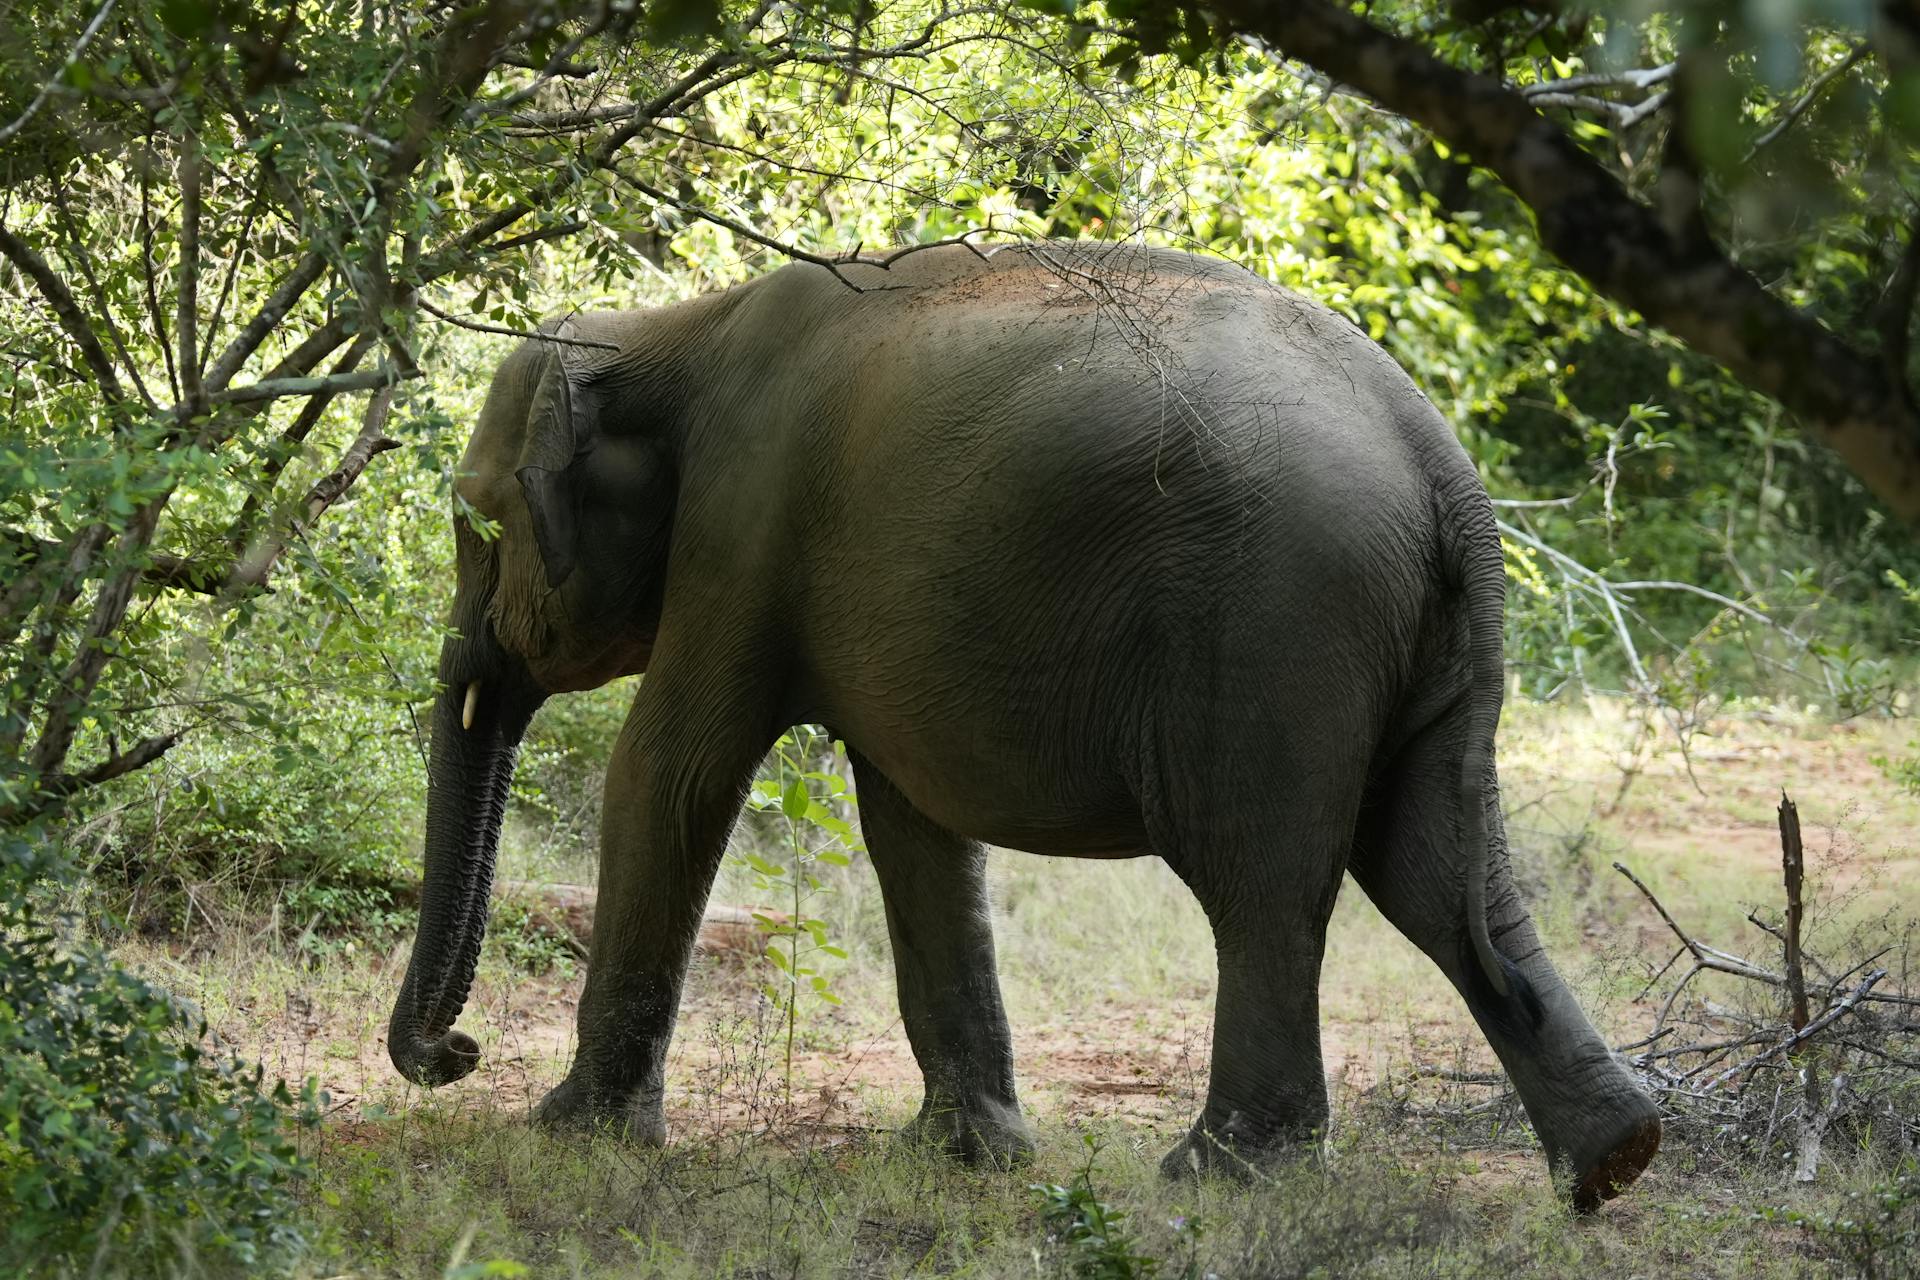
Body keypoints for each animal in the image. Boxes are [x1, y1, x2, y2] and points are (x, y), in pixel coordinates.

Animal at [382, 239, 1658, 1212]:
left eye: (476, 525)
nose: (454, 1054)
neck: (677, 325)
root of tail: (1447, 471)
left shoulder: (739, 527)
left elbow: (671, 769)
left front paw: (567, 1133)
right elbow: (912, 825)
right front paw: (967, 1156)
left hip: (1278, 628)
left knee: (1263, 885)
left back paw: (1222, 1175)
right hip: (1420, 650)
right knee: (1440, 872)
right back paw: (1612, 1161)